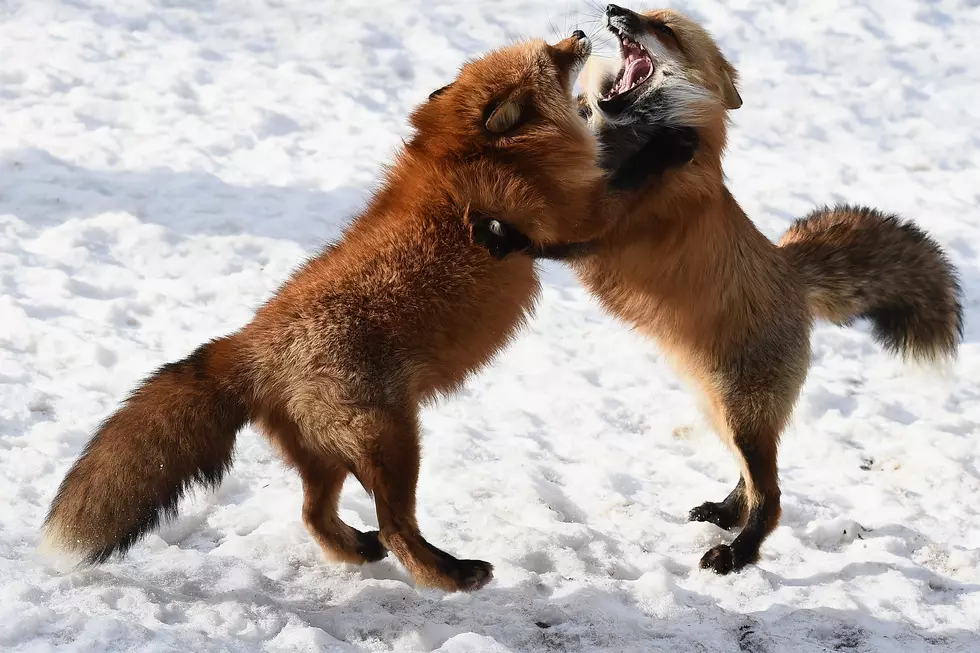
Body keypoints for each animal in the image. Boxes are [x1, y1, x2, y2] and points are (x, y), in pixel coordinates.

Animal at [41, 32, 699, 593]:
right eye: (555, 58)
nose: (581, 32)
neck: (472, 151)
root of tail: (249, 343)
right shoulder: (576, 221)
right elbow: (627, 179)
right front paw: (672, 142)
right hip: (395, 441)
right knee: (397, 529)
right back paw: (452, 576)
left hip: (329, 457)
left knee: (315, 515)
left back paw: (357, 551)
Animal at [469, 5, 963, 575]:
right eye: (647, 13)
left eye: (665, 30)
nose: (615, 9)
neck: (624, 139)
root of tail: (791, 272)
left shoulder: (601, 224)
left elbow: (572, 218)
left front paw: (503, 233)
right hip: (720, 410)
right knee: (751, 482)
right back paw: (725, 514)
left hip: (740, 413)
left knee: (772, 497)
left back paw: (738, 553)